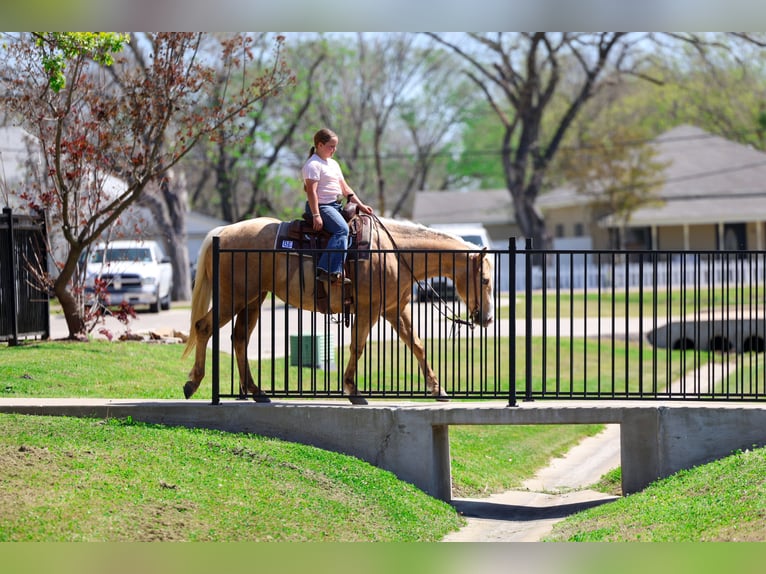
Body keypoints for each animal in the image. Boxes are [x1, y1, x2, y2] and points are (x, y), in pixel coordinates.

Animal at [182, 214, 494, 405]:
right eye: (485, 280)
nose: (488, 318)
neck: (394, 253)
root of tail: (223, 232)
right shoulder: (369, 310)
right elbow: (358, 346)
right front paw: (353, 390)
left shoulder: (395, 310)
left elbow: (417, 345)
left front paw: (439, 389)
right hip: (232, 298)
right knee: (204, 327)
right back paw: (193, 383)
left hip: (253, 300)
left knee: (239, 339)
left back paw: (256, 392)